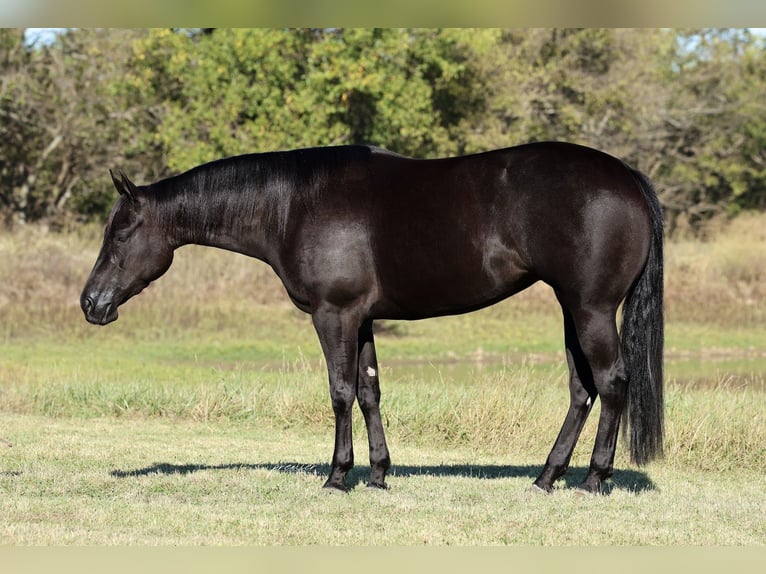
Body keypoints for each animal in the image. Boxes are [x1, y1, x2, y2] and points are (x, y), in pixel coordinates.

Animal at [80, 141, 664, 494]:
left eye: (121, 234)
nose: (90, 303)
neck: (293, 204)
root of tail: (626, 176)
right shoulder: (360, 319)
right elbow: (369, 390)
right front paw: (380, 474)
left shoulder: (333, 314)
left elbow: (340, 392)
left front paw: (338, 476)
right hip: (571, 308)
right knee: (582, 389)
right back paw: (546, 477)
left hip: (590, 309)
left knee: (611, 383)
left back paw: (594, 479)